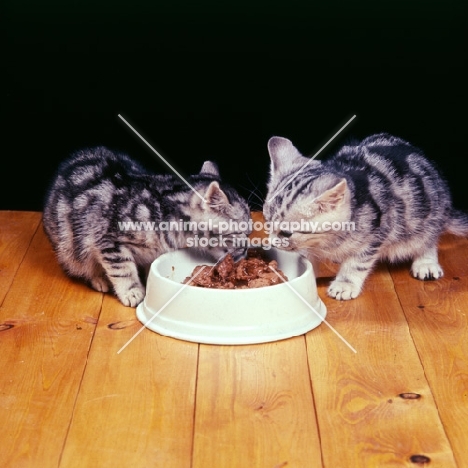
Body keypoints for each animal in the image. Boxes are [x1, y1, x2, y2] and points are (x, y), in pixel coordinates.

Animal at [43, 146, 252, 308]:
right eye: (242, 232)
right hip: (69, 246)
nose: (246, 253)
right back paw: (99, 278)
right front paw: (132, 291)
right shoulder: (109, 242)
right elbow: (123, 269)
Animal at [264, 133, 468, 300]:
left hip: (427, 217)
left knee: (428, 239)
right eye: (267, 223)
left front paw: (345, 284)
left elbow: (357, 262)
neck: (328, 241)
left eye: (286, 233)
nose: (272, 242)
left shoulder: (376, 235)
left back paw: (426, 262)